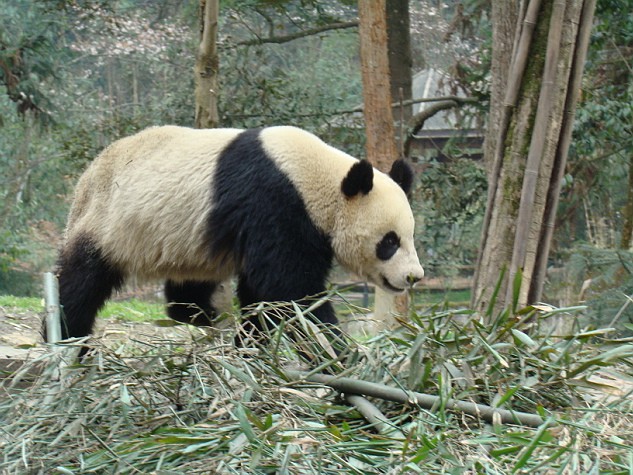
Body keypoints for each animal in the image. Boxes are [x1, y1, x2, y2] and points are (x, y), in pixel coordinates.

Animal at [51, 124, 422, 344]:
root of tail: (86, 177)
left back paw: (199, 314)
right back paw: (67, 339)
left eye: (410, 236)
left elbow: (262, 293)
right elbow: (289, 290)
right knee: (81, 282)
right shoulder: (274, 202)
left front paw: (251, 344)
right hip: (109, 223)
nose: (413, 277)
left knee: (188, 282)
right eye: (389, 241)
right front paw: (335, 351)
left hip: (186, 236)